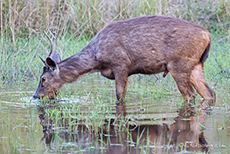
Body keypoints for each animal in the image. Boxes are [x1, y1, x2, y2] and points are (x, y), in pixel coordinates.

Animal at [33, 15, 216, 101]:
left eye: (43, 79)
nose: (35, 96)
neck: (96, 59)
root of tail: (207, 34)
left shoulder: (121, 64)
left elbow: (119, 95)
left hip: (179, 63)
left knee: (190, 95)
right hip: (196, 65)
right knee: (209, 93)